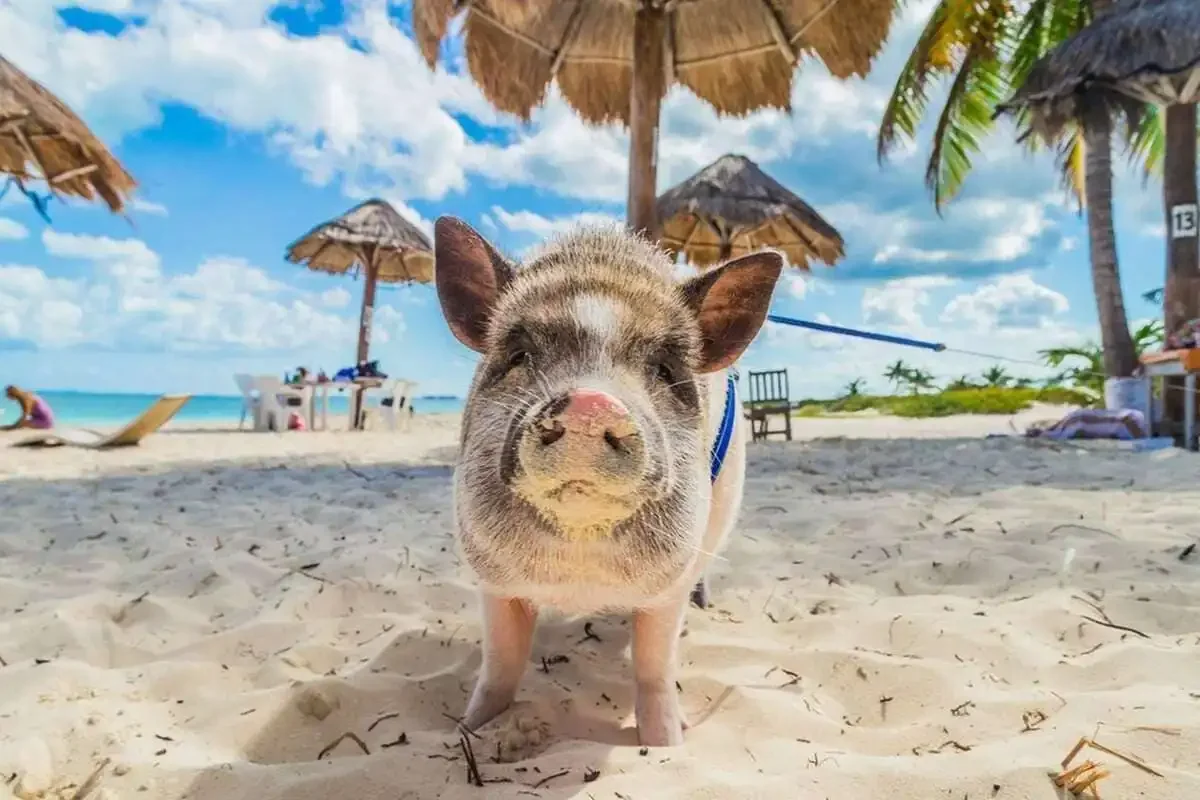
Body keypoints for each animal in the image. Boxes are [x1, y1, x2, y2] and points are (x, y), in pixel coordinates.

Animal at [433, 216, 783, 747]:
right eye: (518, 354)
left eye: (665, 369)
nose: (590, 402)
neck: (582, 575)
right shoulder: (492, 577)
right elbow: (500, 663)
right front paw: (468, 729)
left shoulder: (670, 580)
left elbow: (654, 666)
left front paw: (668, 744)